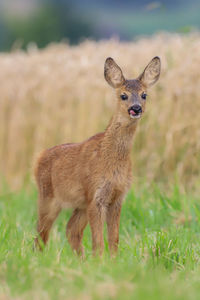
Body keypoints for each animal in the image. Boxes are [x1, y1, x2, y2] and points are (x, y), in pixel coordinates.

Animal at [34, 56, 161, 255]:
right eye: (123, 95)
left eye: (144, 94)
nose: (136, 108)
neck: (110, 159)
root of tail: (39, 157)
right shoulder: (96, 195)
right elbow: (98, 240)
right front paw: (100, 259)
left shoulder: (117, 197)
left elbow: (113, 238)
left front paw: (113, 260)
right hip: (48, 197)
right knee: (41, 234)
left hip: (80, 204)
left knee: (71, 229)